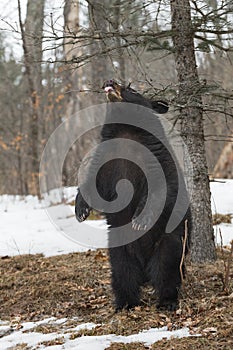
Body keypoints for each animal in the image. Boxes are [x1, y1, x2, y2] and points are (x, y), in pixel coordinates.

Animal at [75, 80, 190, 312]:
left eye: (132, 88)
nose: (109, 82)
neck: (125, 131)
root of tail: (144, 267)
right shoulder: (106, 162)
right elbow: (92, 183)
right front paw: (80, 210)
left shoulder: (156, 158)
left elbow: (162, 187)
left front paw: (139, 219)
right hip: (119, 246)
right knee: (122, 273)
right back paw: (125, 302)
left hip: (169, 240)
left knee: (166, 270)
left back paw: (167, 301)